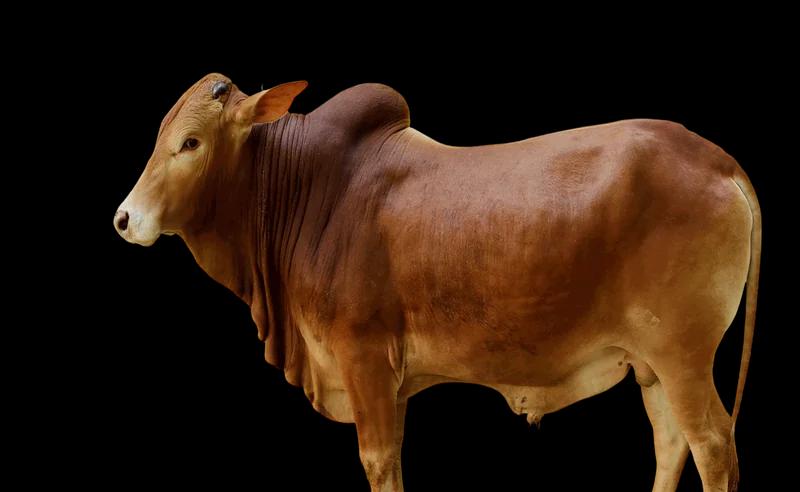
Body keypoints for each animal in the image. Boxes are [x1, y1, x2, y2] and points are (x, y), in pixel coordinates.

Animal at [114, 73, 760, 492]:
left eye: (191, 143)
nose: (124, 218)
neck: (309, 188)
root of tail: (716, 159)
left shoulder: (365, 360)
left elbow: (380, 463)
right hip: (651, 366)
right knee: (671, 442)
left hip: (682, 356)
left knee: (711, 445)